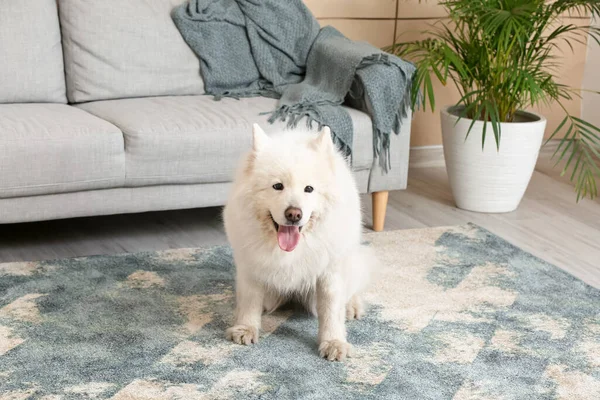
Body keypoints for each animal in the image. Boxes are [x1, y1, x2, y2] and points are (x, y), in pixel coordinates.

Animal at [225, 123, 376, 360]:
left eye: (309, 189)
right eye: (278, 186)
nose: (294, 214)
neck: (290, 250)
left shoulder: (330, 274)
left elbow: (331, 310)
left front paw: (333, 343)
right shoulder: (251, 267)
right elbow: (250, 301)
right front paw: (245, 328)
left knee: (353, 288)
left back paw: (352, 307)